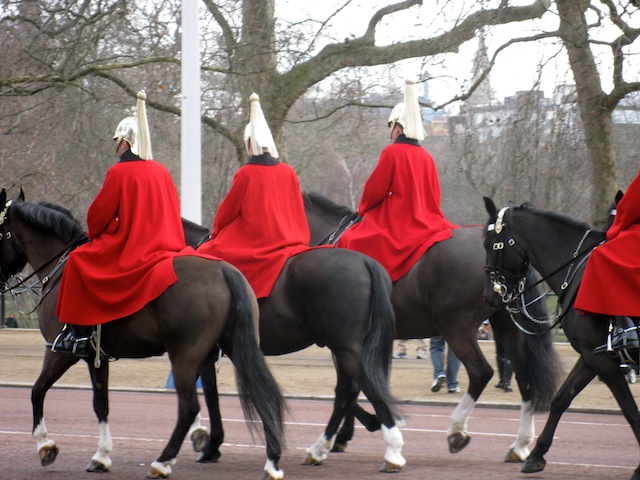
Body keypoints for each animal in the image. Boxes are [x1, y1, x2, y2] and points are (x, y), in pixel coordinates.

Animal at [0, 190, 284, 480]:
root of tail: (224, 271)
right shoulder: (96, 356)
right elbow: (101, 403)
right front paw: (101, 456)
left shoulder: (59, 351)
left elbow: (37, 391)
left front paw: (45, 445)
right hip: (233, 348)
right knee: (263, 394)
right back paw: (271, 462)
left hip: (184, 357)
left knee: (189, 407)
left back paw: (163, 461)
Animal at [482, 197, 640, 478]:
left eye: (490, 244)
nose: (489, 295)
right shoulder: (591, 357)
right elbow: (560, 399)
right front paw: (536, 455)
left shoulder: (604, 362)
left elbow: (630, 410)